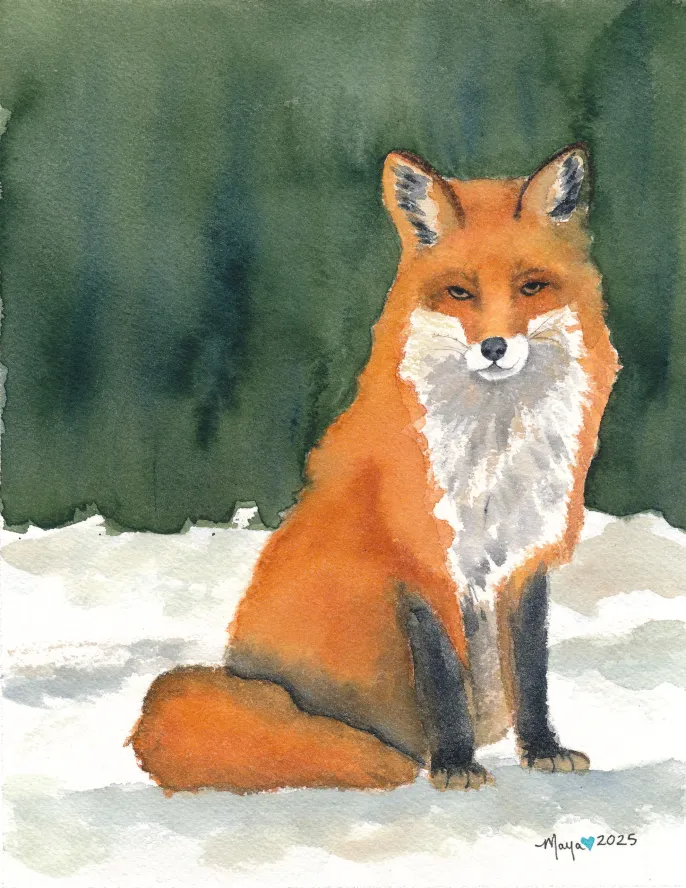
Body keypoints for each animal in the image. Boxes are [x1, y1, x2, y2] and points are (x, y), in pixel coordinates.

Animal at [129, 144, 619, 793]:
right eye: (459, 292)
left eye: (532, 286)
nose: (493, 347)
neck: (492, 455)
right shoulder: (417, 562)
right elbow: (444, 680)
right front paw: (454, 765)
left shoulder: (524, 557)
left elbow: (532, 671)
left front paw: (542, 751)